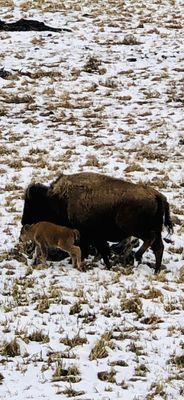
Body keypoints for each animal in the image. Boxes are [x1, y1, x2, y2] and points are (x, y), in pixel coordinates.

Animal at [20, 172, 173, 272]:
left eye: (33, 204)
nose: (23, 221)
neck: (60, 199)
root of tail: (157, 195)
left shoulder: (88, 236)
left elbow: (88, 250)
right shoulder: (95, 237)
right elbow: (102, 251)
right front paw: (108, 265)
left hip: (134, 228)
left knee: (150, 240)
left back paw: (139, 256)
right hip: (154, 229)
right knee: (158, 247)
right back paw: (156, 271)